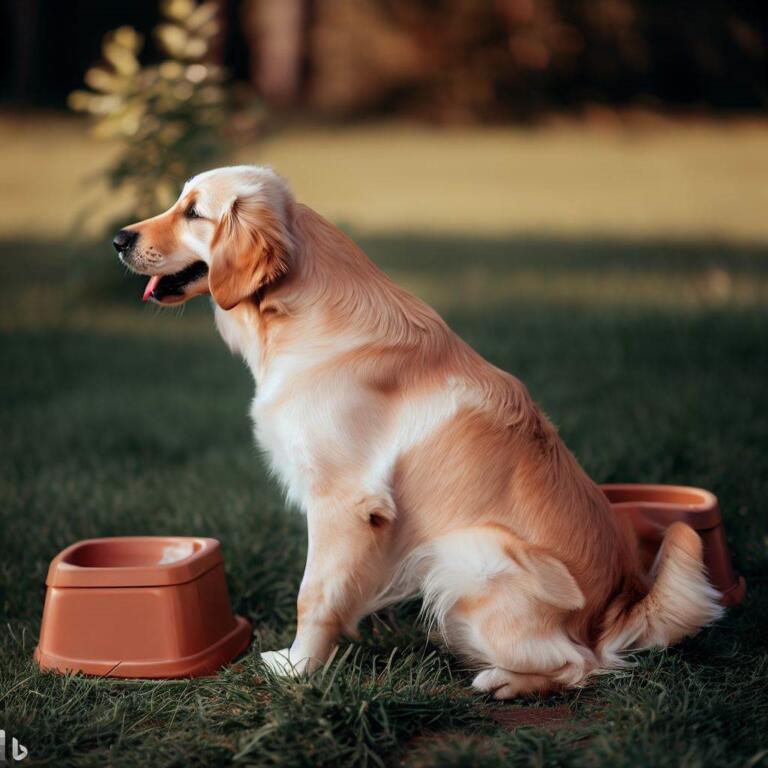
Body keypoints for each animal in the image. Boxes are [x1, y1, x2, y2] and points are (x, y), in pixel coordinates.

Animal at [112, 165, 720, 700]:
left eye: (194, 212)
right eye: (179, 201)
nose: (118, 238)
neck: (294, 315)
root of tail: (617, 610)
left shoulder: (343, 501)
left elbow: (314, 594)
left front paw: (298, 669)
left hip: (470, 553)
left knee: (578, 664)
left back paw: (505, 681)